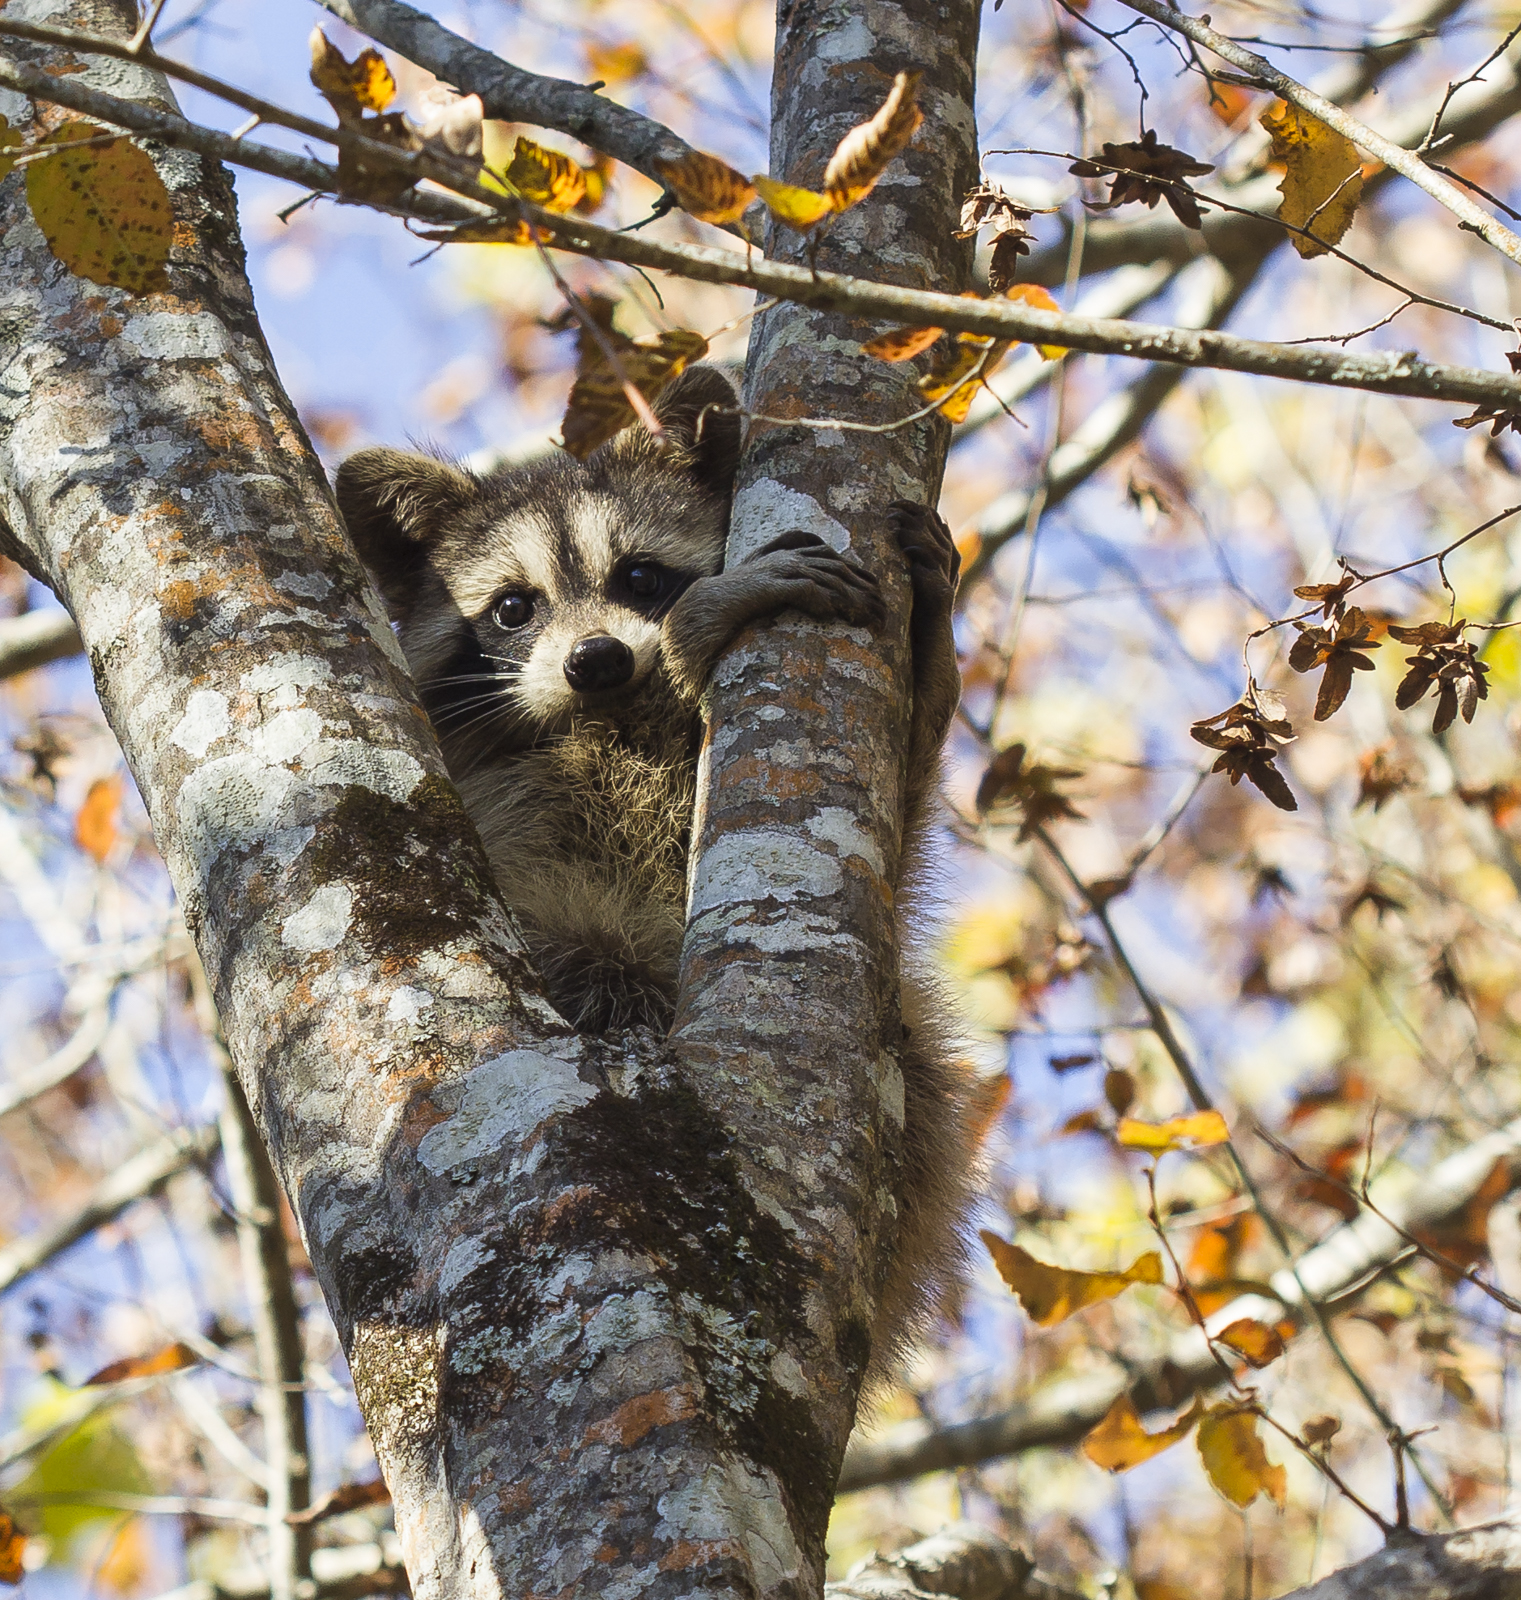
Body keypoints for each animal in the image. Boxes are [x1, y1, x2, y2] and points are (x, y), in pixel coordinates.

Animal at [336, 365, 975, 1376]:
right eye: (513, 608)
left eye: (639, 575)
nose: (598, 660)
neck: (611, 721)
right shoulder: (468, 772)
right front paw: (690, 636)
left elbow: (898, 827)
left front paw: (934, 655)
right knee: (594, 959)